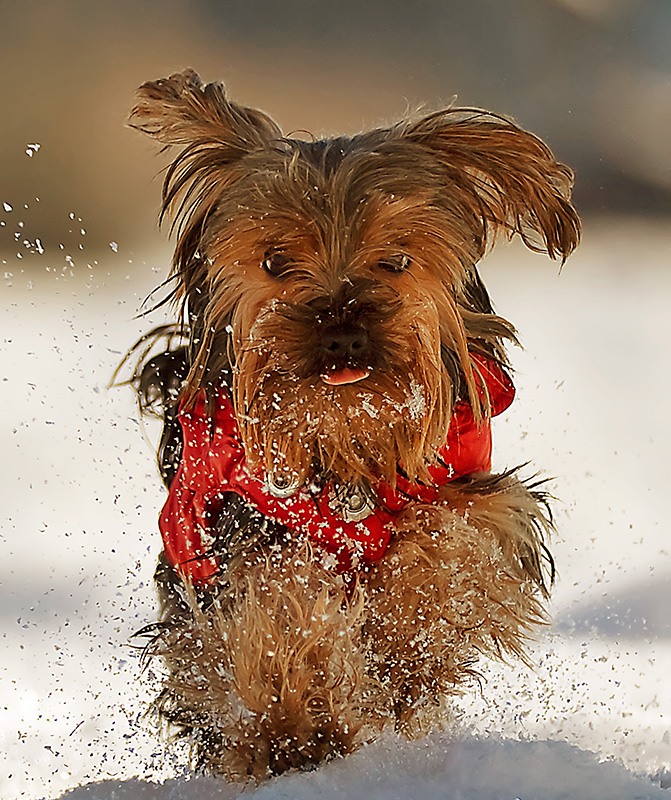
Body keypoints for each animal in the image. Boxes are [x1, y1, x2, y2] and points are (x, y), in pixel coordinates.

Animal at [122, 69, 584, 780]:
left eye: (395, 260)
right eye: (274, 261)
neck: (343, 442)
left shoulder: (471, 489)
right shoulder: (238, 523)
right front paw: (296, 720)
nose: (341, 331)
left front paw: (402, 635)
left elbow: (456, 538)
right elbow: (275, 598)